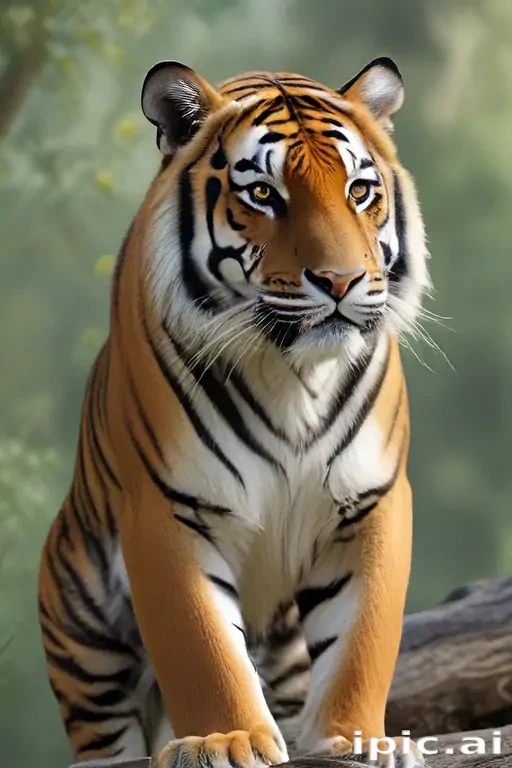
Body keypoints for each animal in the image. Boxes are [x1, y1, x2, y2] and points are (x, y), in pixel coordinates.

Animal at [39, 56, 430, 768]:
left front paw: (357, 740)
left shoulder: (372, 499)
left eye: (360, 191)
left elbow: (362, 642)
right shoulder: (167, 507)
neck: (292, 372)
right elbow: (202, 646)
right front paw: (222, 741)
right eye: (265, 195)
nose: (341, 281)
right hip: (87, 639)